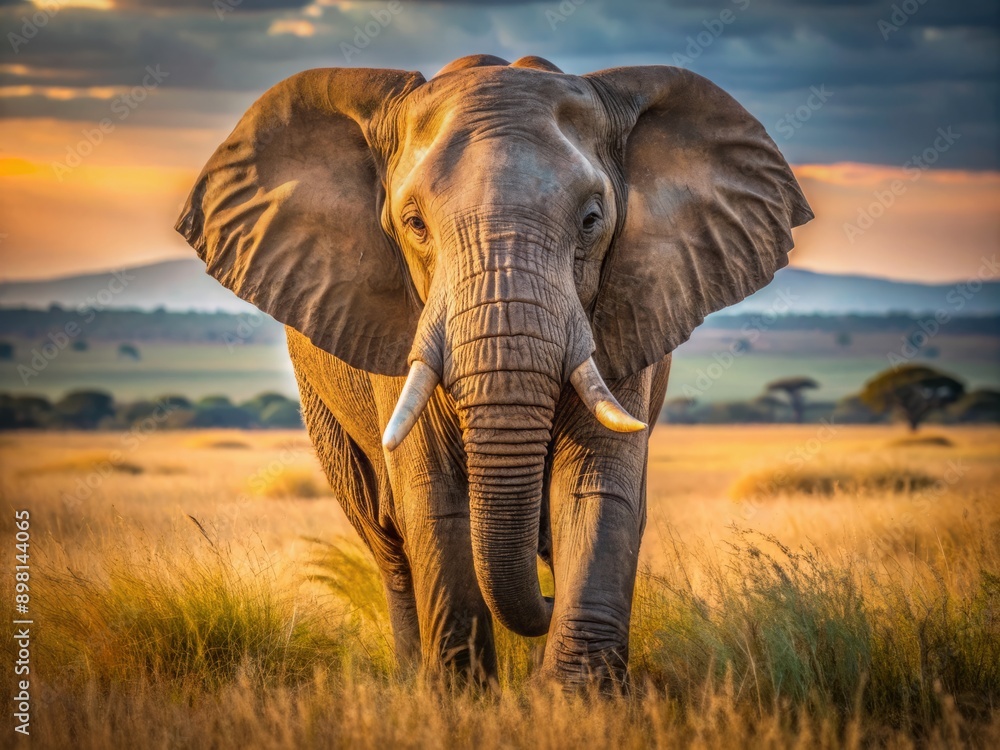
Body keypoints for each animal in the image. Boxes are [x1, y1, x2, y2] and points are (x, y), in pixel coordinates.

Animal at [176, 54, 812, 688]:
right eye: (414, 224)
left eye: (591, 220)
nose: (548, 605)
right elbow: (433, 496)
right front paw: (461, 697)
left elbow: (594, 487)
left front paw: (577, 697)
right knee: (387, 542)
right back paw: (414, 676)